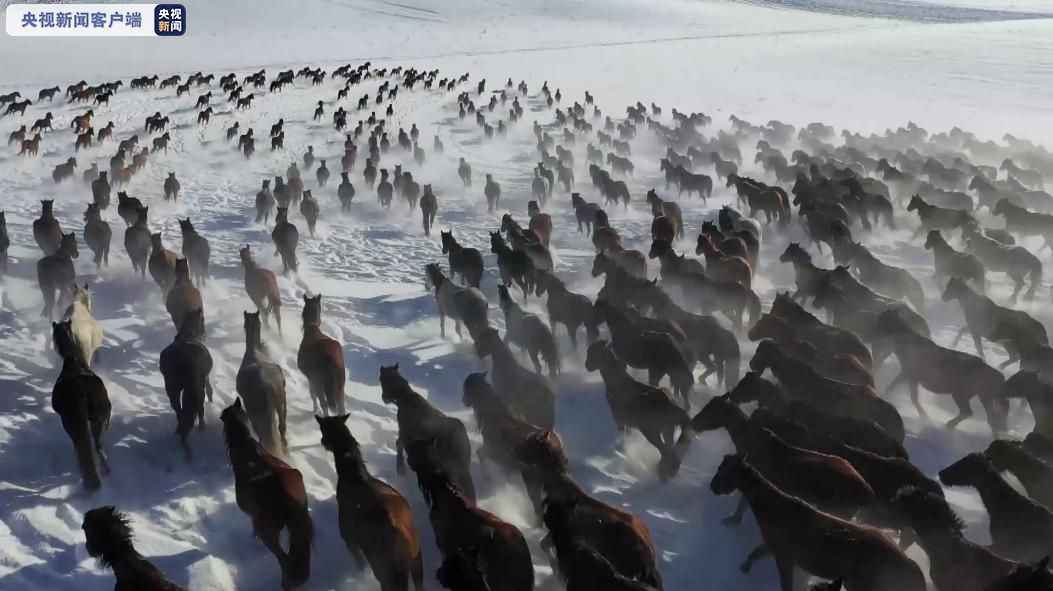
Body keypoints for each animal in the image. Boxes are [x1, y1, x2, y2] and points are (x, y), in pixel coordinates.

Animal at [159, 309, 212, 461]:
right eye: (203, 320)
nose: (205, 333)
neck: (188, 336)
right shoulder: (203, 380)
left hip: (172, 389)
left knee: (179, 411)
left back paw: (179, 431)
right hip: (195, 389)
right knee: (198, 408)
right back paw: (201, 428)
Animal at [315, 415, 423, 589]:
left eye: (323, 428)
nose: (323, 441)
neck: (353, 477)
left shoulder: (348, 538)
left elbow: (359, 564)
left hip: (386, 572)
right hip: (416, 560)